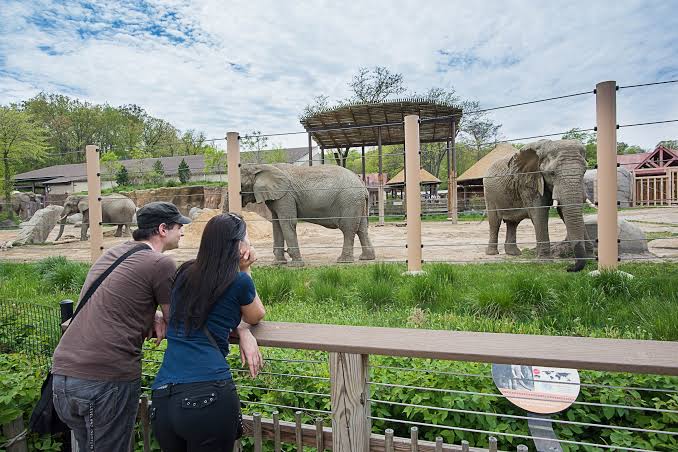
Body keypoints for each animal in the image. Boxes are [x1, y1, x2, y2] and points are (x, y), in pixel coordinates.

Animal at [240, 163, 376, 266]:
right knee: (362, 229)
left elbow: (287, 222)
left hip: (350, 201)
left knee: (348, 229)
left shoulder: (286, 196)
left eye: (241, 186)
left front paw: (296, 265)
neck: (260, 166)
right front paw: (277, 264)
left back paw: (343, 261)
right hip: (358, 202)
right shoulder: (277, 197)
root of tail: (363, 185)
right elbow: (277, 224)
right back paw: (366, 258)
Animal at [483, 139, 592, 272]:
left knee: (512, 223)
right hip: (489, 194)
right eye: (552, 173)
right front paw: (545, 262)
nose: (569, 268)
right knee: (495, 222)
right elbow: (539, 212)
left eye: (584, 171)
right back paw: (492, 253)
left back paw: (514, 254)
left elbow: (563, 211)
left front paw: (592, 257)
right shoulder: (529, 181)